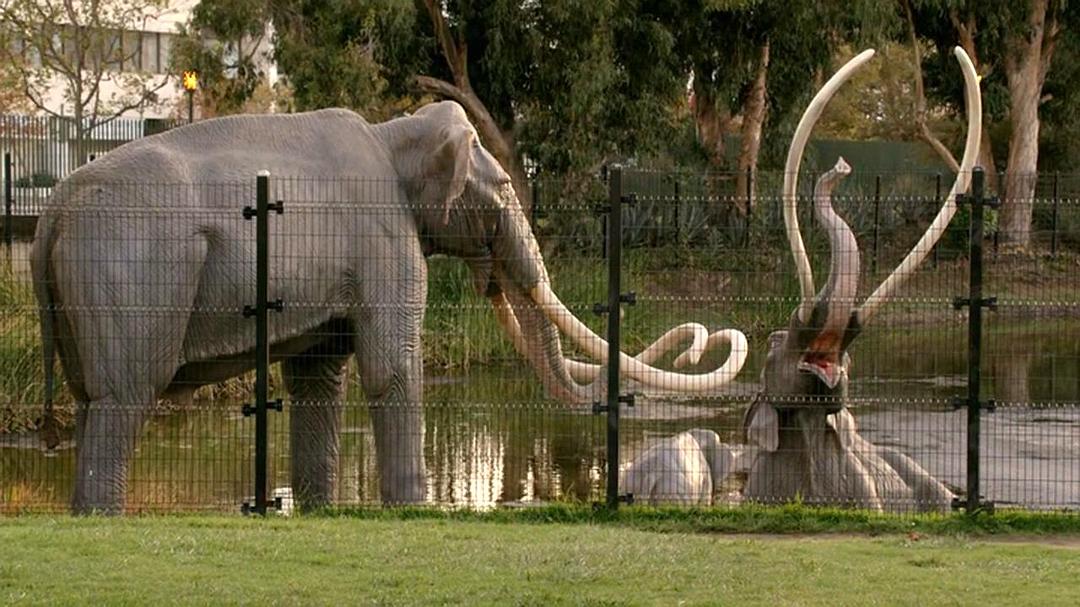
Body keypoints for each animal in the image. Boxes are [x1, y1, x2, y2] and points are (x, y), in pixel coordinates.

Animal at [31, 100, 749, 513]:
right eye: (504, 190)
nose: (703, 334)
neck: (393, 130)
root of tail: (49, 215)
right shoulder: (385, 244)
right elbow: (391, 371)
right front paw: (412, 510)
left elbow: (320, 379)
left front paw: (321, 511)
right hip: (128, 274)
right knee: (123, 398)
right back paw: (102, 517)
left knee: (96, 402)